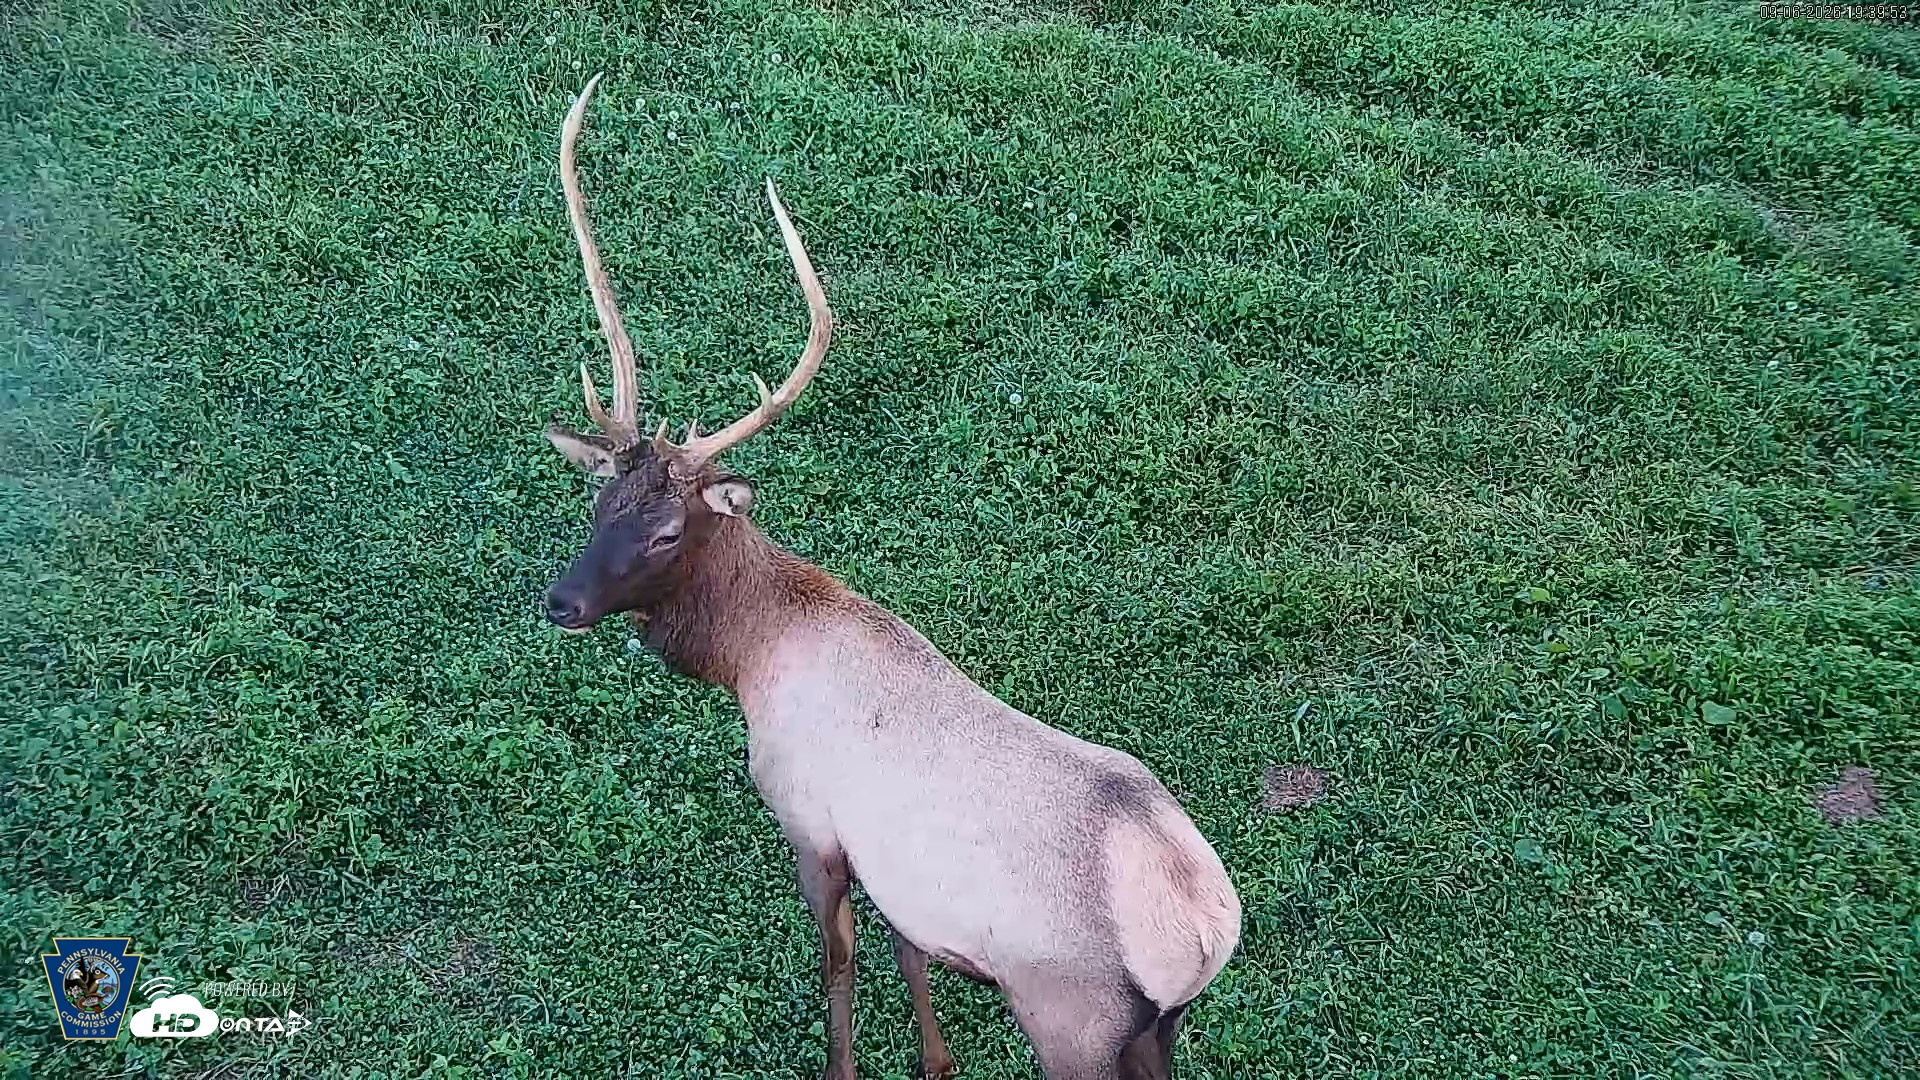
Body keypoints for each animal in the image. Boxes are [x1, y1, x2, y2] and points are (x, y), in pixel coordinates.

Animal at [538, 75, 1241, 1080]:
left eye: (668, 530)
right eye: (600, 503)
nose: (563, 601)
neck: (751, 659)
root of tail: (1208, 934)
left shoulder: (810, 822)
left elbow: (839, 964)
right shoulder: (893, 870)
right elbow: (910, 951)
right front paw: (935, 1060)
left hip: (1072, 1021)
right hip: (1156, 1027)